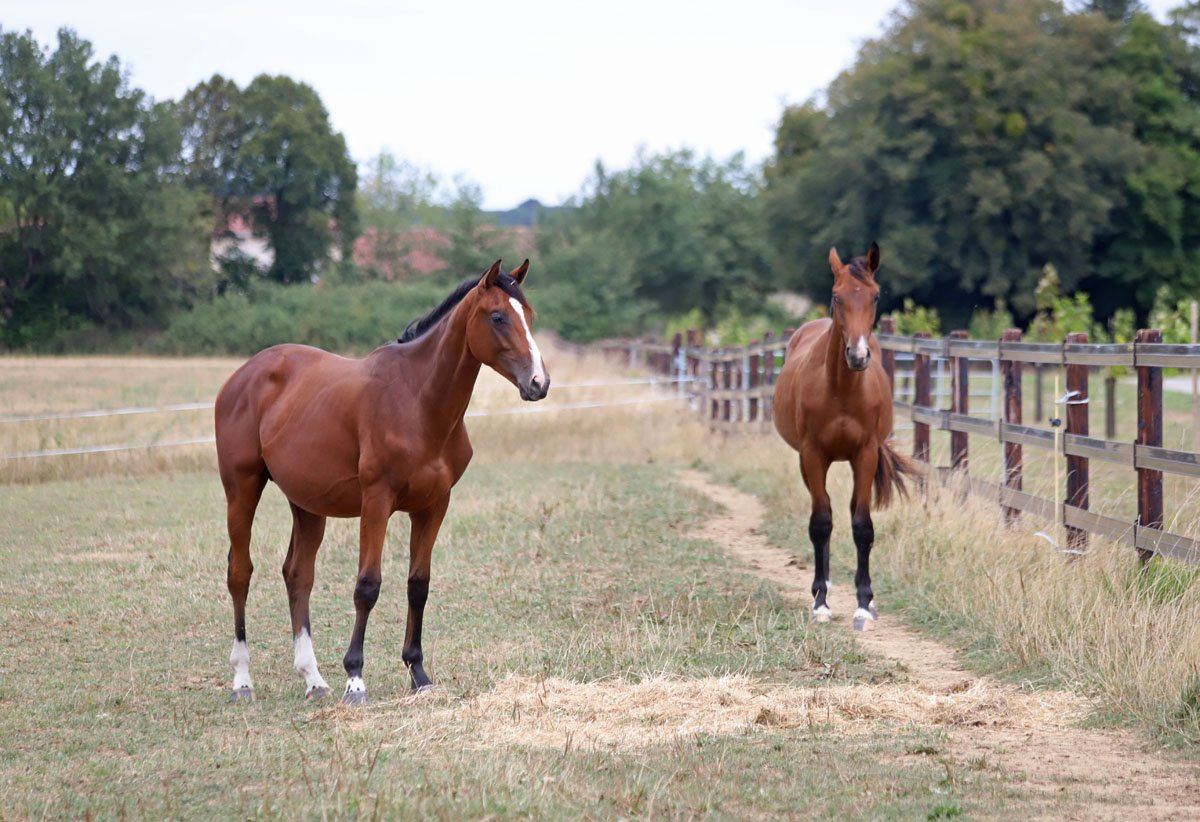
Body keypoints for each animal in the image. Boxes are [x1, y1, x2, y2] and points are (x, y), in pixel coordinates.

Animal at [214, 259, 549, 704]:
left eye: (528, 315)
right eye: (497, 317)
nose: (539, 383)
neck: (417, 402)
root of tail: (243, 374)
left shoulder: (433, 506)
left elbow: (418, 585)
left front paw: (419, 674)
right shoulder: (377, 503)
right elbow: (367, 586)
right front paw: (355, 679)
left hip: (307, 504)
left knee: (298, 574)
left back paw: (313, 679)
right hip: (242, 489)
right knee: (240, 573)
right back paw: (242, 681)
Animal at [772, 243, 919, 631]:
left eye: (875, 295)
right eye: (837, 296)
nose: (857, 355)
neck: (840, 390)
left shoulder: (865, 453)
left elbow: (862, 526)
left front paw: (864, 604)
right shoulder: (812, 455)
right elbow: (821, 523)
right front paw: (821, 602)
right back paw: (820, 586)